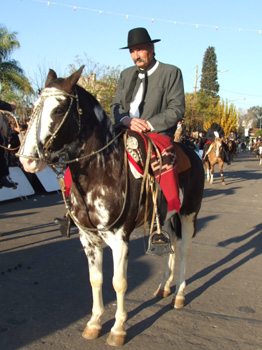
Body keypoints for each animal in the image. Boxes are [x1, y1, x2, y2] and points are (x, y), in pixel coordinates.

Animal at [17, 66, 205, 348]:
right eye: (35, 106)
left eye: (59, 109)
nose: (27, 160)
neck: (103, 170)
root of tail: (192, 152)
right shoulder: (88, 239)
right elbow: (96, 279)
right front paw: (94, 323)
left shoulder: (119, 239)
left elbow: (119, 283)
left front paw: (118, 328)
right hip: (166, 216)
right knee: (171, 246)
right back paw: (164, 286)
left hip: (188, 214)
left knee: (184, 250)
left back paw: (179, 294)